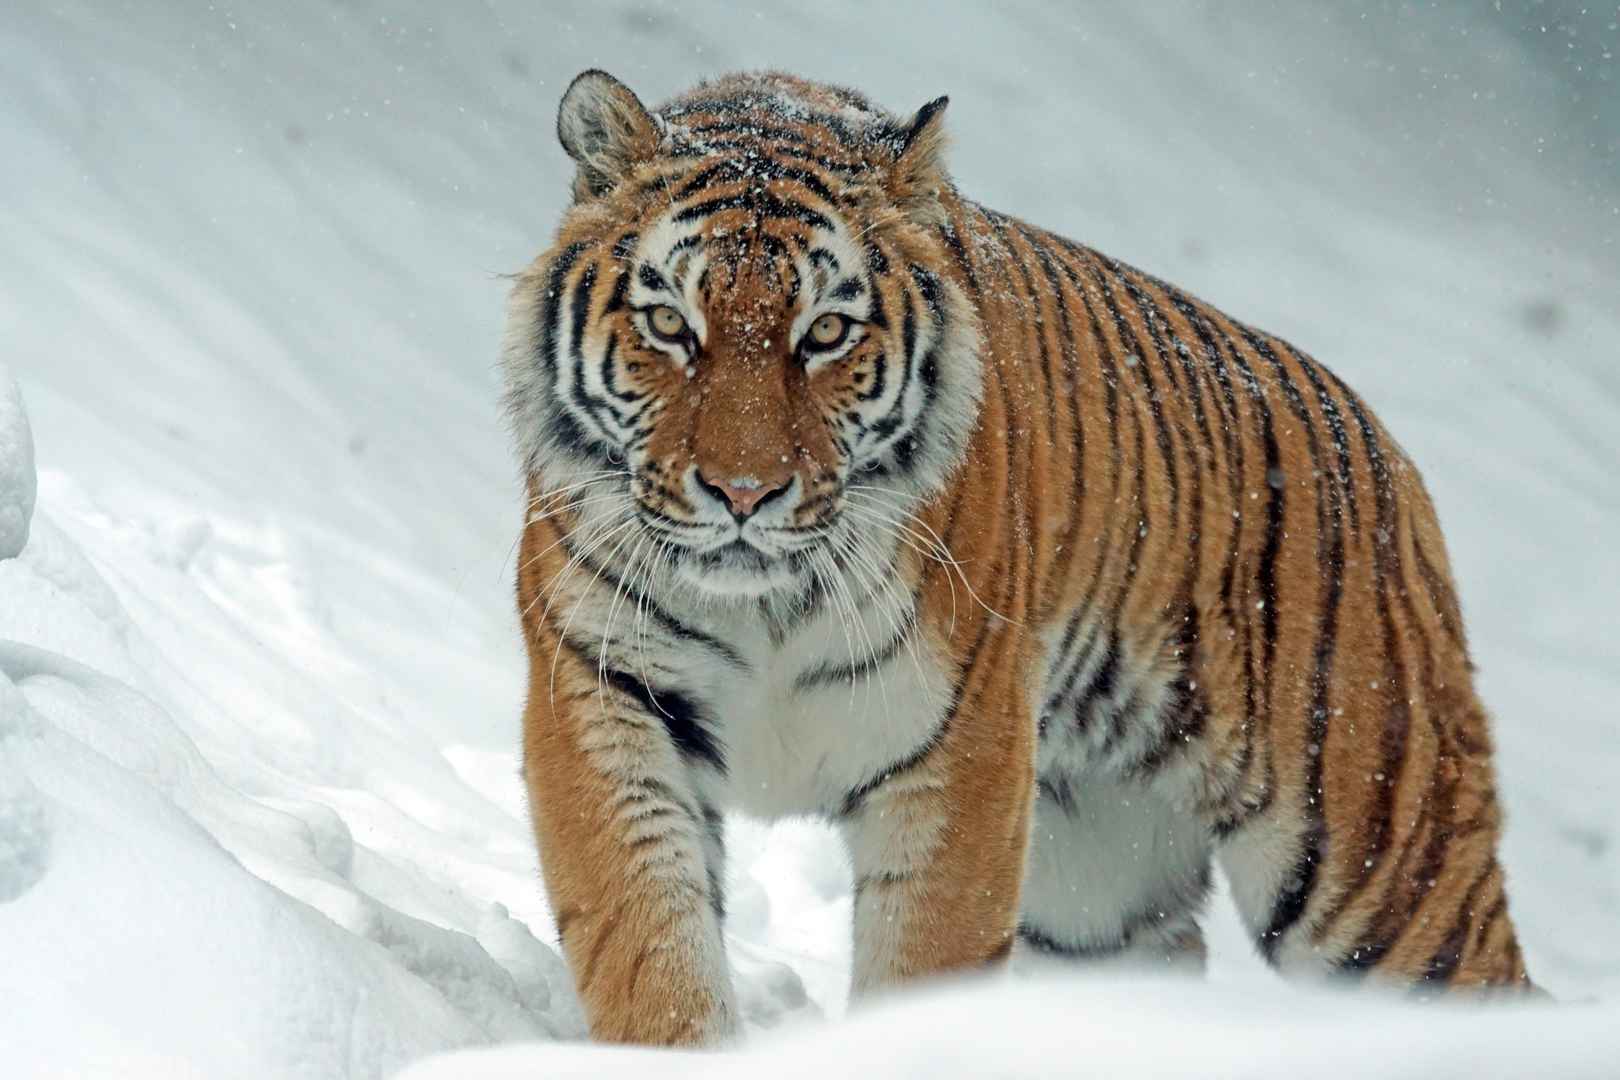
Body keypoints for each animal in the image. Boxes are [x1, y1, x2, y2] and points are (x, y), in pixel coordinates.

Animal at [498, 67, 1535, 1049]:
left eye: (825, 332)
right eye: (671, 325)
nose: (744, 494)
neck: (766, 606)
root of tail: (1389, 455)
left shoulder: (962, 752)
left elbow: (924, 964)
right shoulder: (605, 695)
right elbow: (647, 942)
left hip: (1380, 863)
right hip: (1098, 893)